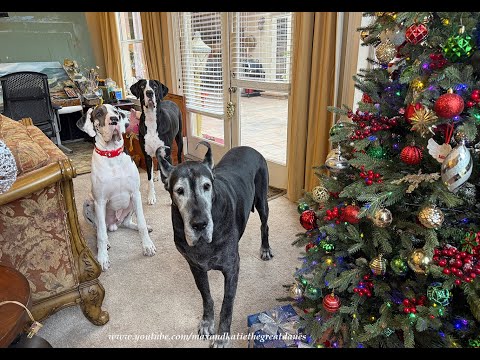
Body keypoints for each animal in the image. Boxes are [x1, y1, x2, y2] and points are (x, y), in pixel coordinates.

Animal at [76, 104, 157, 270]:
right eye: (99, 113)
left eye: (116, 113)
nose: (114, 120)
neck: (112, 154)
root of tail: (114, 225)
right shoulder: (100, 201)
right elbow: (101, 234)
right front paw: (102, 258)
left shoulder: (135, 193)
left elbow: (142, 223)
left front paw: (147, 246)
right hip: (88, 204)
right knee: (100, 229)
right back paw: (105, 243)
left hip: (132, 204)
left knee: (127, 222)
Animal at [158, 142, 274, 348]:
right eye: (179, 191)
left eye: (207, 186)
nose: (199, 224)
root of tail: (249, 147)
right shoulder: (196, 267)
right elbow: (206, 296)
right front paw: (207, 322)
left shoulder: (231, 267)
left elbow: (227, 303)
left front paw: (222, 336)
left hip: (262, 200)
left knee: (264, 225)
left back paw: (265, 248)